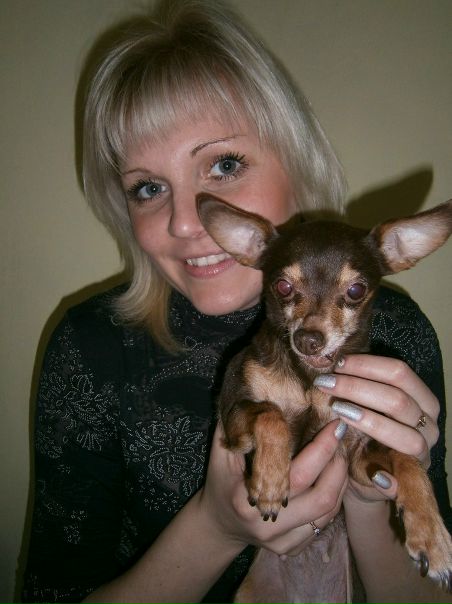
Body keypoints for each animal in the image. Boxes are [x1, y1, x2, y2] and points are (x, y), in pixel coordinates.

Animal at [197, 193, 452, 601]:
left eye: (356, 291)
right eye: (282, 287)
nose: (308, 339)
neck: (310, 380)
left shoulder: (358, 460)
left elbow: (406, 459)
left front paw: (431, 534)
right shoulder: (233, 414)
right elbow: (271, 415)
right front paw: (270, 480)